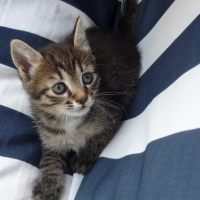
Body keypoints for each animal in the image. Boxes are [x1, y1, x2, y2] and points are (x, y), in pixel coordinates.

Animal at [10, 13, 141, 200]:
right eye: (59, 88)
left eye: (87, 77)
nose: (83, 98)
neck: (70, 121)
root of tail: (121, 37)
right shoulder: (48, 137)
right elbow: (49, 158)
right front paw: (48, 186)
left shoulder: (114, 114)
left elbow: (99, 137)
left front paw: (84, 157)